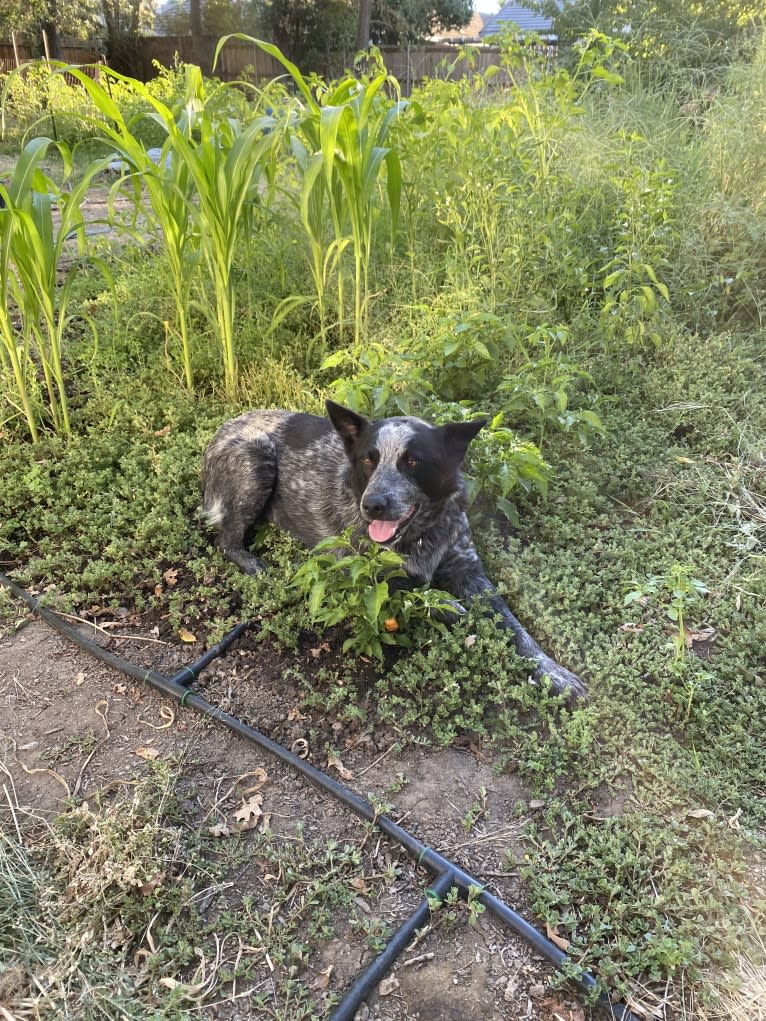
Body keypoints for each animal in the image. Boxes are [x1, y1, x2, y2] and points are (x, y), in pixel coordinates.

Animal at [199, 402, 588, 698]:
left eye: (413, 461)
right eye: (367, 460)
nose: (372, 505)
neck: (421, 534)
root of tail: (219, 432)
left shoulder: (468, 568)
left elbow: (515, 627)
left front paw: (555, 673)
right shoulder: (369, 577)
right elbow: (431, 599)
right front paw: (454, 611)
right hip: (256, 459)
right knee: (226, 540)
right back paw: (255, 566)